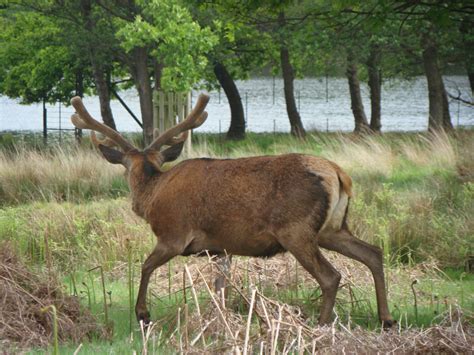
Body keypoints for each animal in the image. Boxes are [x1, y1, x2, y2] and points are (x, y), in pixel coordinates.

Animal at [70, 93, 394, 330]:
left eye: (126, 168)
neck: (152, 196)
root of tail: (339, 174)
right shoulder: (220, 247)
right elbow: (220, 287)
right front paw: (220, 320)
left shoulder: (173, 235)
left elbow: (145, 266)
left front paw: (143, 313)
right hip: (332, 228)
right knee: (373, 252)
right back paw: (386, 319)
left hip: (296, 229)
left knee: (330, 276)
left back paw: (321, 326)